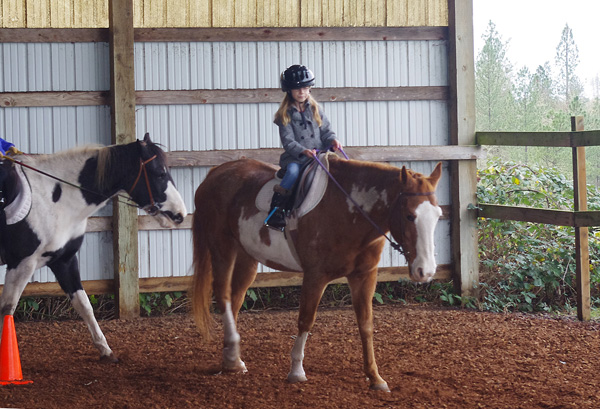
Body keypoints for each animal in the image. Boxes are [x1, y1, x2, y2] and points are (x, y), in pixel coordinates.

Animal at [0, 134, 186, 360]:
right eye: (159, 173)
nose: (180, 214)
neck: (55, 199)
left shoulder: (64, 261)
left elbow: (84, 304)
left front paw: (105, 349)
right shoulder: (22, 264)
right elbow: (7, 309)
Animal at [190, 155, 442, 390]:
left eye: (438, 215)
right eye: (409, 215)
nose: (425, 271)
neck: (349, 211)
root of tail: (216, 172)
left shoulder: (364, 276)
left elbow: (366, 324)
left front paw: (375, 378)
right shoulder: (316, 276)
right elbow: (306, 320)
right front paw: (296, 371)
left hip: (247, 256)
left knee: (235, 299)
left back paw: (231, 359)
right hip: (222, 247)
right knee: (223, 295)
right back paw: (233, 355)